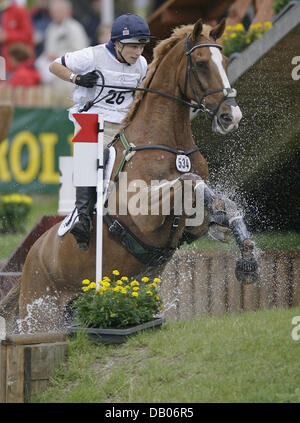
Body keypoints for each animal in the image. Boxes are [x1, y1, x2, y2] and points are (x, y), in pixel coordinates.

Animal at [0, 17, 258, 334]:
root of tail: (31, 259)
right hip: (41, 312)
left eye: (222, 61)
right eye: (200, 63)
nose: (231, 117)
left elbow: (215, 201)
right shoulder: (142, 215)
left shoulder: (188, 228)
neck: (168, 144)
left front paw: (244, 253)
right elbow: (189, 182)